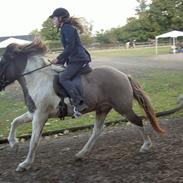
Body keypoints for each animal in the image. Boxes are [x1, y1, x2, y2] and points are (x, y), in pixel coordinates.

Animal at [0, 39, 164, 172]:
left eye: (2, 62)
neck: (37, 79)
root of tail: (124, 75)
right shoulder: (33, 113)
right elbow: (15, 122)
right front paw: (14, 144)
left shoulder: (41, 115)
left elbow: (33, 141)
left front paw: (25, 164)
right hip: (102, 109)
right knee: (97, 131)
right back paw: (81, 154)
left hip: (123, 108)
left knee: (137, 121)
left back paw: (146, 146)